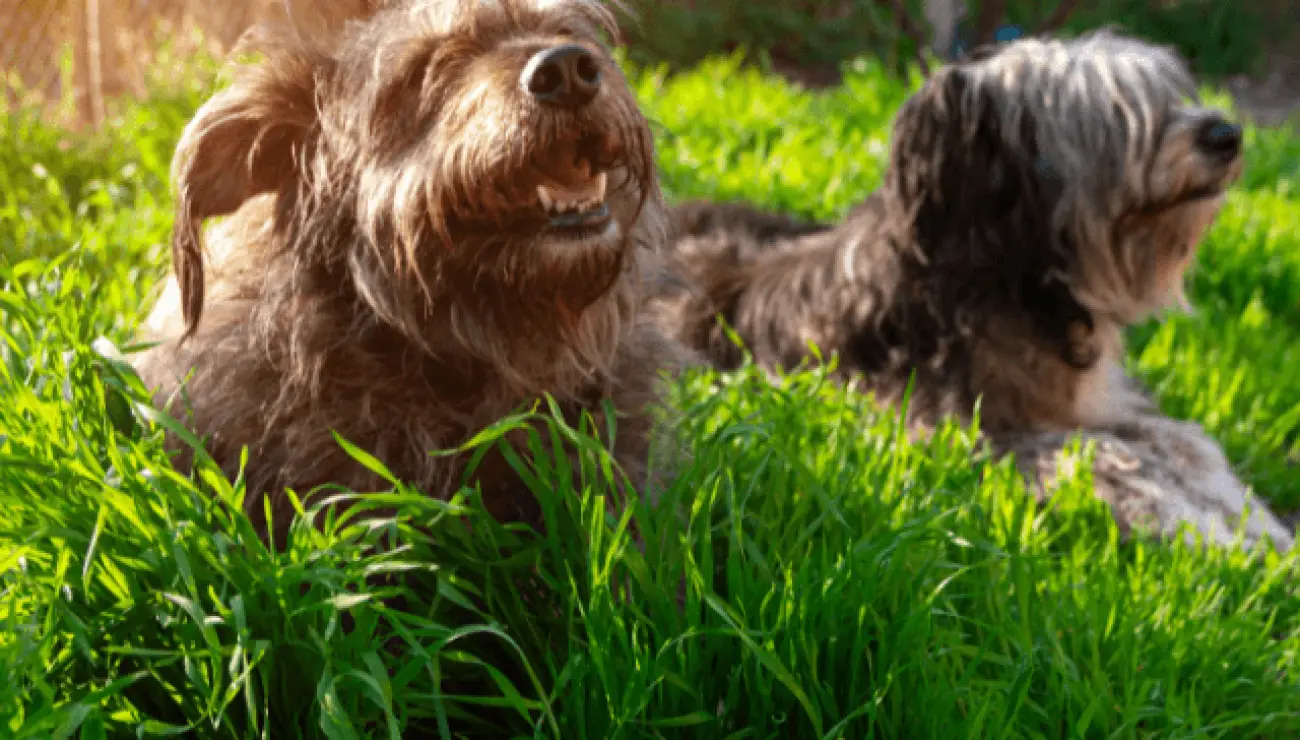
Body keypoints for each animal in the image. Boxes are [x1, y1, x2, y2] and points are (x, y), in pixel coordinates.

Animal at [655, 33, 1294, 548]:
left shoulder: (1098, 402)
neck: (1011, 277)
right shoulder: (949, 430)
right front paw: (1208, 532)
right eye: (1113, 114)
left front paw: (1255, 522)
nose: (1226, 134)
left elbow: (1185, 440)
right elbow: (1105, 455)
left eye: (1169, 91)